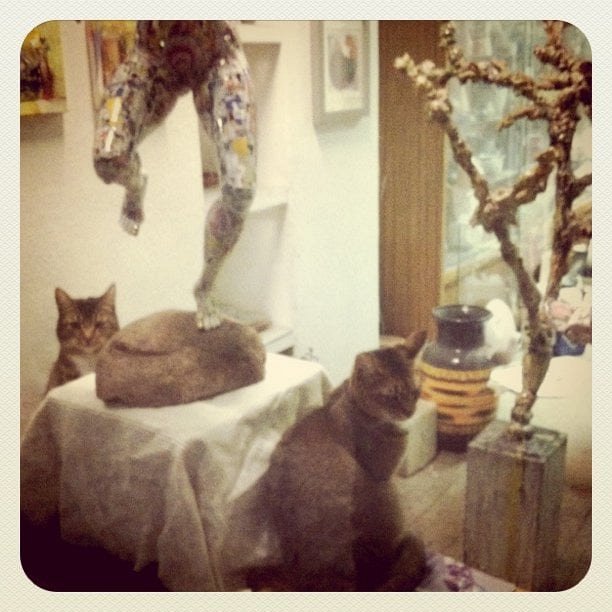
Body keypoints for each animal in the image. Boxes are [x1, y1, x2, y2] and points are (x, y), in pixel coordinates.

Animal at [249, 330, 429, 591]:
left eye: (415, 392)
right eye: (392, 396)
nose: (410, 412)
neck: (351, 401)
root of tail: (299, 578)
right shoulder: (382, 471)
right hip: (385, 493)